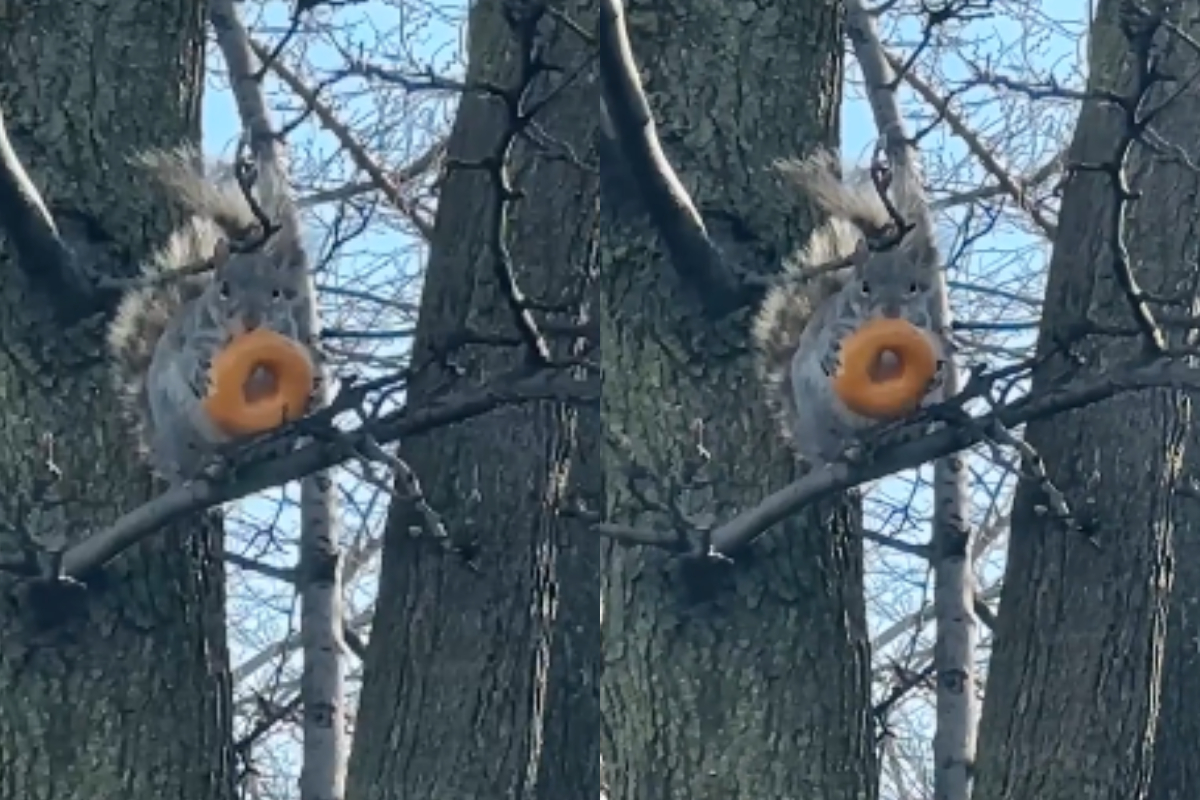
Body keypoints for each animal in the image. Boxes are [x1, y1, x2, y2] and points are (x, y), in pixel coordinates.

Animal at [107, 146, 318, 484]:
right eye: (224, 289)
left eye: (277, 293)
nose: (251, 321)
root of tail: (162, 451)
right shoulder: (194, 334)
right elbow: (189, 356)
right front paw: (199, 370)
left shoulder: (288, 333)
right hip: (181, 428)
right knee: (196, 462)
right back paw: (209, 465)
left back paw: (268, 447)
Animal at [752, 148, 947, 465]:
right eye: (865, 287)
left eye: (913, 287)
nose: (891, 311)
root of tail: (805, 438)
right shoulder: (834, 321)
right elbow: (829, 338)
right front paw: (833, 350)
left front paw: (935, 373)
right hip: (821, 416)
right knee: (835, 445)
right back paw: (849, 448)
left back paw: (905, 432)